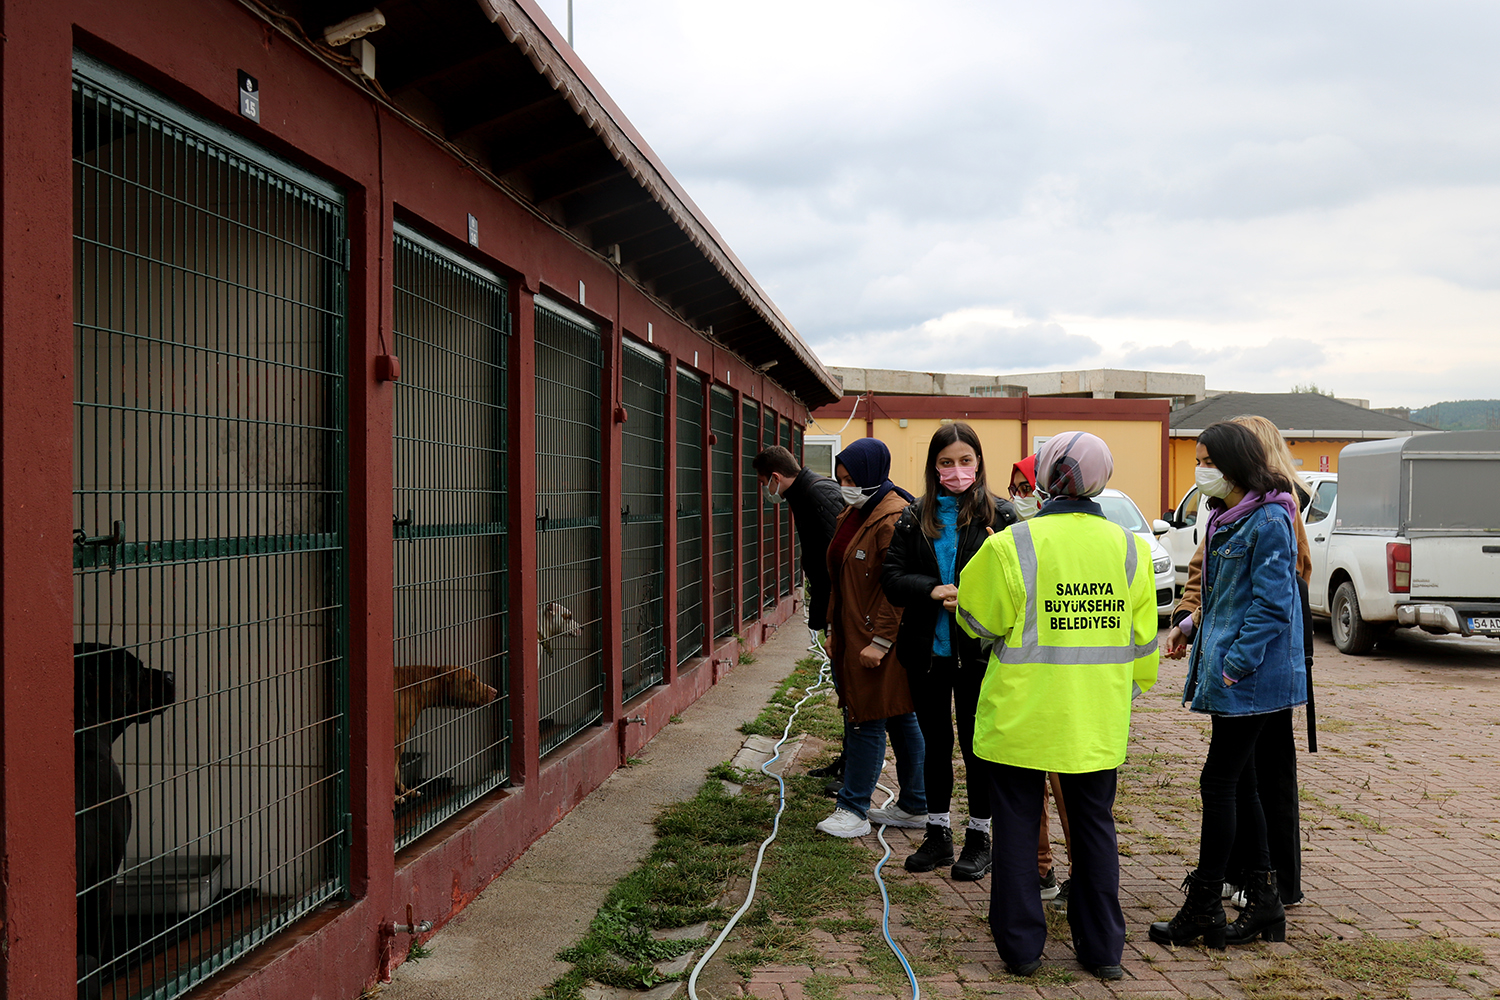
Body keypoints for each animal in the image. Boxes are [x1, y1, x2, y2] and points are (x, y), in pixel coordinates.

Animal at [393, 665, 498, 803]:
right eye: (473, 680)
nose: (495, 691)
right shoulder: (398, 738)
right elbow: (395, 771)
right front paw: (396, 798)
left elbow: (397, 772)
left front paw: (407, 792)